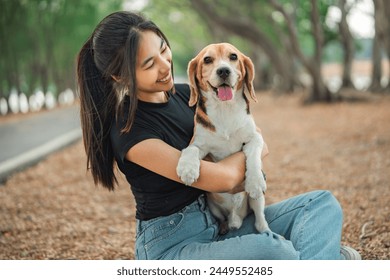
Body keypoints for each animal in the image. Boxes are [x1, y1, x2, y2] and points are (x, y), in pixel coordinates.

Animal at [176, 42, 270, 233]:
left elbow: (253, 157)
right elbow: (190, 150)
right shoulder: (199, 144)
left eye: (233, 56)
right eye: (207, 59)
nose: (224, 71)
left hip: (257, 202)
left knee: (259, 220)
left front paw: (254, 182)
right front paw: (188, 170)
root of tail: (236, 217)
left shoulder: (255, 137)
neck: (224, 109)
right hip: (214, 210)